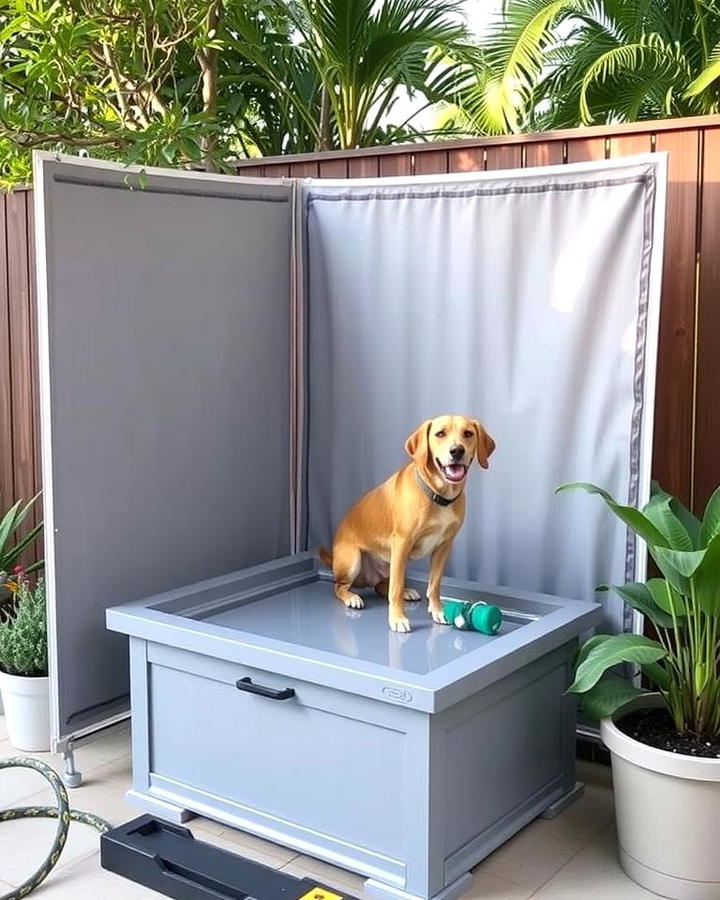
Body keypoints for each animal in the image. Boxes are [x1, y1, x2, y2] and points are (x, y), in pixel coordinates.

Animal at [320, 414, 496, 632]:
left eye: (468, 433)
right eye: (440, 434)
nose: (457, 451)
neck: (438, 495)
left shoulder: (444, 546)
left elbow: (434, 584)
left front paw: (437, 610)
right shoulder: (402, 543)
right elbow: (395, 588)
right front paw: (397, 618)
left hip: (391, 563)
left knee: (382, 585)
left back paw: (405, 591)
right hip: (354, 561)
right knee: (341, 586)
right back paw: (352, 597)